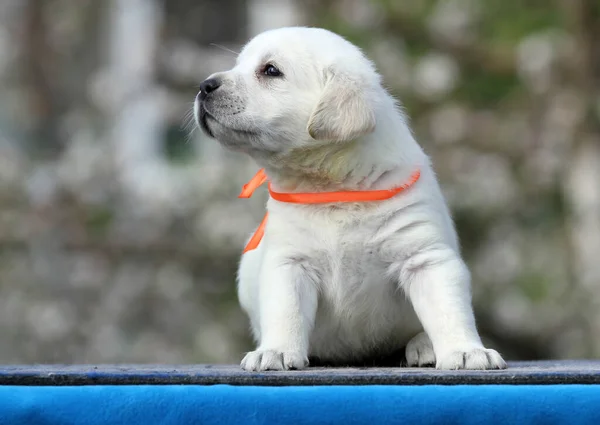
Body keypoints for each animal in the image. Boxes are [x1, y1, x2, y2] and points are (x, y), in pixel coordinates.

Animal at [196, 27, 506, 372]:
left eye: (271, 70)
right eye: (239, 64)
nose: (204, 86)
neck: (333, 185)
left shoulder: (425, 257)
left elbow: (448, 310)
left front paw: (466, 351)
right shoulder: (289, 262)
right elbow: (286, 312)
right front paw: (274, 351)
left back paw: (424, 346)